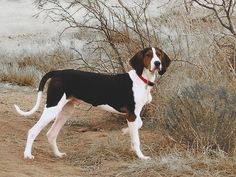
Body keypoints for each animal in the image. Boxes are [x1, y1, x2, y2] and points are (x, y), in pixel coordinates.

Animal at [14, 46, 170, 160]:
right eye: (148, 55)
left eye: (159, 55)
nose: (157, 63)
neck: (142, 79)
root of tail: (57, 72)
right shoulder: (132, 114)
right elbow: (137, 137)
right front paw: (141, 155)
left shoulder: (134, 114)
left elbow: (139, 125)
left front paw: (126, 132)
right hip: (53, 107)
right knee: (33, 131)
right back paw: (27, 155)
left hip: (66, 111)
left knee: (51, 134)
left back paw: (57, 154)